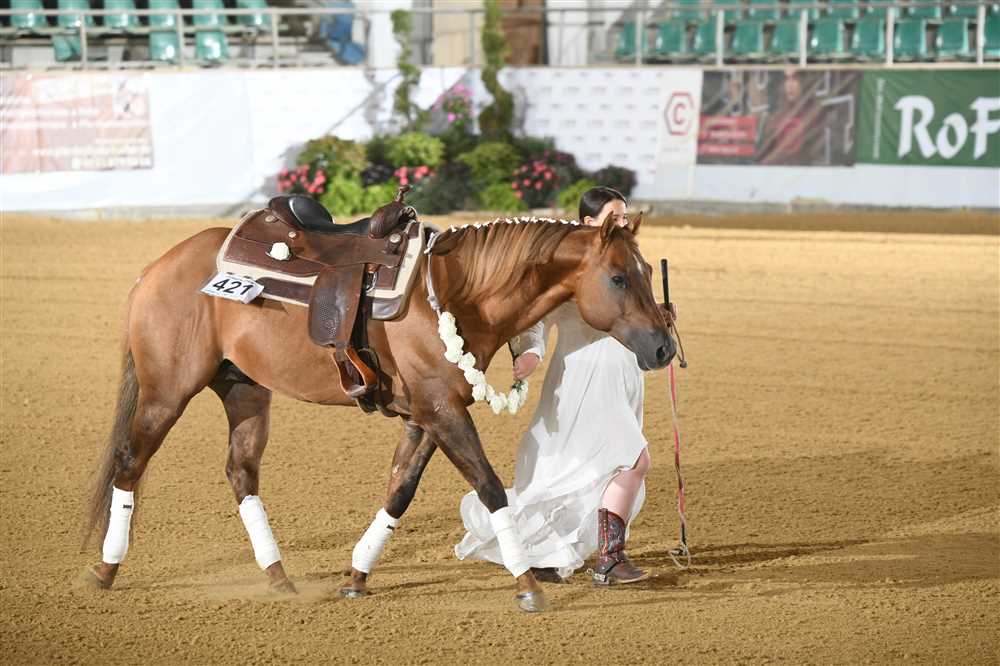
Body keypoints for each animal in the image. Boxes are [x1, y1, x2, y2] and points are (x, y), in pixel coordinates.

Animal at [81, 210, 675, 612]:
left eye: (648, 270)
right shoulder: (443, 411)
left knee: (241, 473)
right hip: (167, 392)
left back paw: (278, 577)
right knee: (130, 462)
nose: (664, 348)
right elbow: (489, 487)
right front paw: (527, 583)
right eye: (619, 277)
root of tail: (156, 268)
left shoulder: (426, 416)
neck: (457, 292)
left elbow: (399, 491)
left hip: (244, 391)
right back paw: (106, 570)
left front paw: (357, 576)